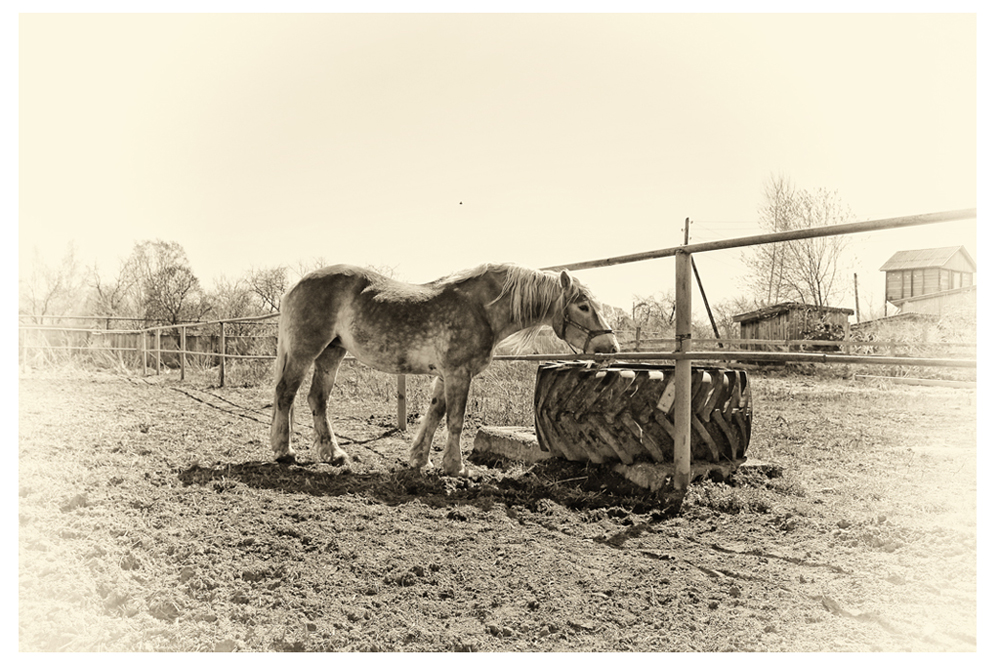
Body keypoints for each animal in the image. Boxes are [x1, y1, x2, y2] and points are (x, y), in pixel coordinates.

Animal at [269, 263, 621, 477]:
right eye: (583, 306)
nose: (611, 348)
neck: (482, 309)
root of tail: (295, 286)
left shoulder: (444, 374)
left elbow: (435, 413)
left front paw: (419, 459)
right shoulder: (458, 373)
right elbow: (455, 419)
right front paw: (456, 467)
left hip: (332, 352)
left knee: (317, 399)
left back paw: (334, 454)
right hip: (305, 351)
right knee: (286, 394)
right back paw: (284, 451)